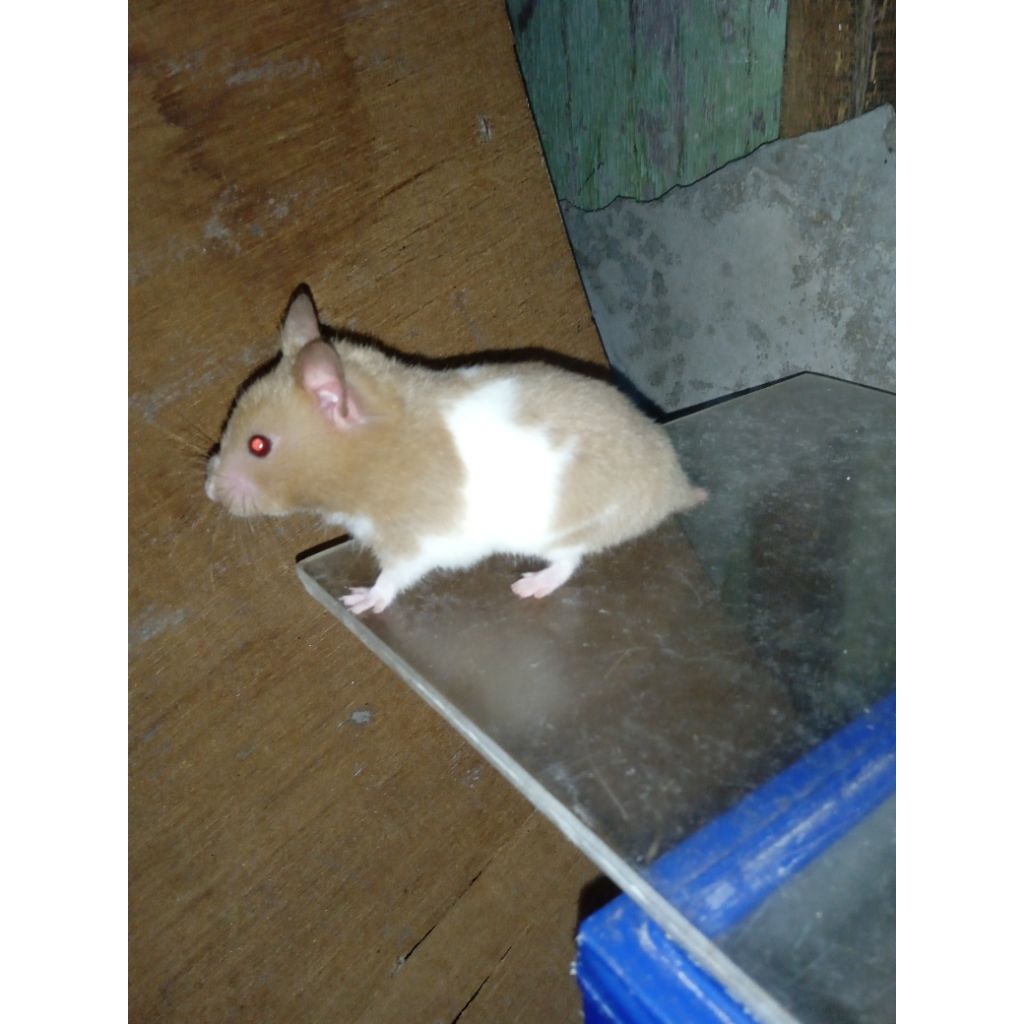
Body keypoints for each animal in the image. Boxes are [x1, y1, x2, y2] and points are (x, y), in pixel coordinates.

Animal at [205, 288, 708, 614]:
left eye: (258, 445)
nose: (208, 490)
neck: (375, 457)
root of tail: (677, 488)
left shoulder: (412, 544)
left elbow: (392, 578)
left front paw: (358, 601)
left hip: (561, 531)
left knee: (568, 563)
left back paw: (527, 587)